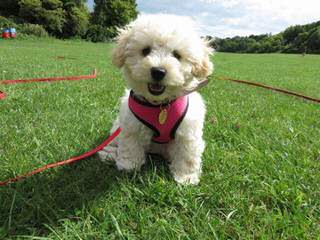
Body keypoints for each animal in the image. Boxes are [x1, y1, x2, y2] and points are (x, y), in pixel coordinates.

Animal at [97, 14, 212, 185]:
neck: (160, 105)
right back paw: (109, 154)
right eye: (146, 50)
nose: (158, 71)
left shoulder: (188, 130)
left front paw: (186, 177)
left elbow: (187, 154)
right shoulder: (131, 124)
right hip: (118, 127)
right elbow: (130, 145)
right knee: (115, 142)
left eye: (177, 55)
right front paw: (128, 165)